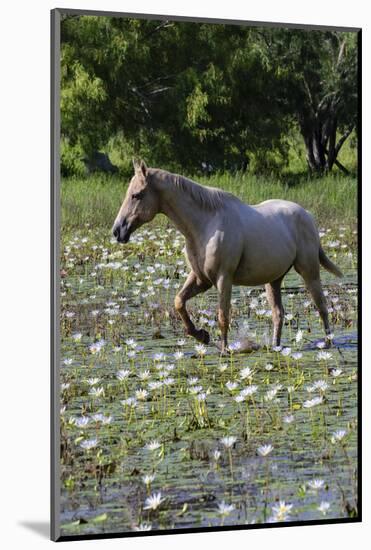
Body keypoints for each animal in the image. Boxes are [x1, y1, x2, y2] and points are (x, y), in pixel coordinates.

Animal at [112, 160, 342, 354]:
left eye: (137, 195)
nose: (117, 231)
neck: (206, 225)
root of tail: (307, 215)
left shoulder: (224, 278)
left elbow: (223, 316)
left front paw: (224, 350)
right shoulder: (200, 278)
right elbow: (179, 302)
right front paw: (201, 335)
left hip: (309, 271)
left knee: (322, 307)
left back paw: (328, 343)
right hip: (274, 280)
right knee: (279, 314)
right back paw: (276, 347)